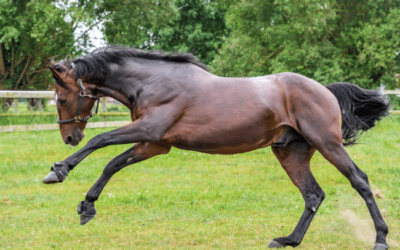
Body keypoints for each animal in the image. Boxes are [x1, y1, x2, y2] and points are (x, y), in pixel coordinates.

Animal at [43, 46, 390, 249]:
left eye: (62, 99)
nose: (69, 137)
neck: (151, 83)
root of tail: (324, 90)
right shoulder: (155, 144)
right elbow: (112, 163)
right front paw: (87, 206)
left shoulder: (149, 130)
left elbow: (100, 141)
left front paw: (58, 171)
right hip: (291, 153)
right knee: (313, 195)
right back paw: (287, 240)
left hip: (327, 143)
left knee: (359, 181)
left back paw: (380, 238)